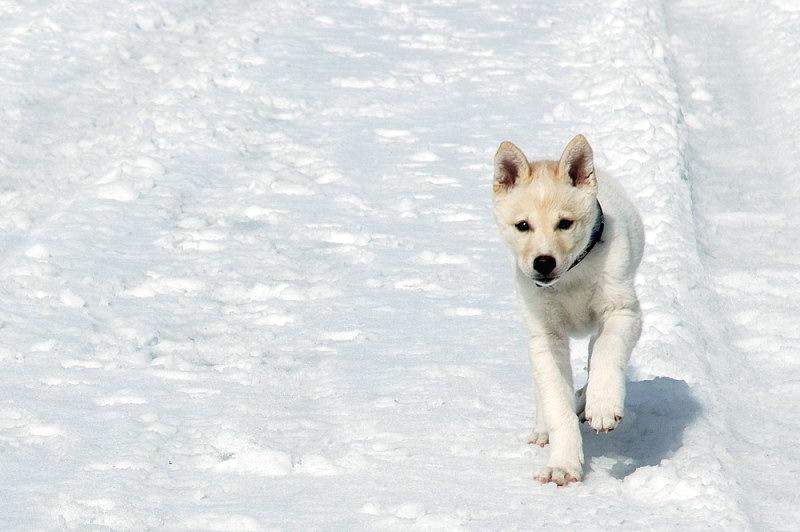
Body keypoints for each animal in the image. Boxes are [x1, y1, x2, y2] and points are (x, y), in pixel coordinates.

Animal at [490, 135, 648, 484]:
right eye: (523, 225)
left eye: (565, 224)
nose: (543, 263)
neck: (572, 278)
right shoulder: (546, 336)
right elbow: (556, 402)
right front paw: (563, 465)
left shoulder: (623, 312)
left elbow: (606, 352)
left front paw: (602, 406)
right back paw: (541, 428)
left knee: (594, 352)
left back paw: (589, 400)